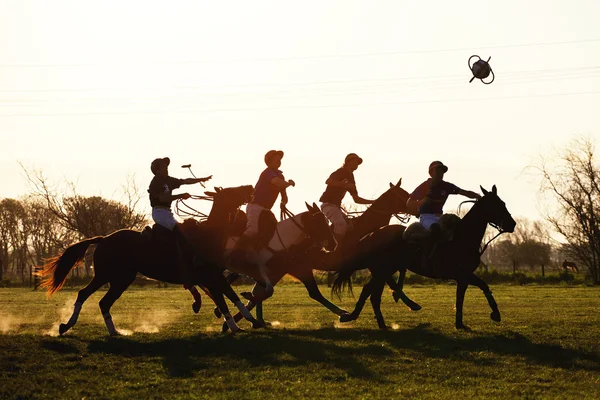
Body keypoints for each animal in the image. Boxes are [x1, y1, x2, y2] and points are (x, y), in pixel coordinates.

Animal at [38, 184, 262, 334]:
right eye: (231, 190)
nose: (250, 187)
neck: (210, 235)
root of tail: (104, 239)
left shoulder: (216, 277)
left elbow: (232, 297)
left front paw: (250, 321)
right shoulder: (210, 278)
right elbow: (224, 302)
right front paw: (236, 326)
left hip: (120, 279)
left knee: (102, 302)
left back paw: (113, 332)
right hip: (107, 276)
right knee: (86, 295)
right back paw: (70, 326)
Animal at [332, 186, 516, 330]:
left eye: (503, 203)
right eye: (496, 205)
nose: (512, 224)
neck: (463, 237)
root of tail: (371, 235)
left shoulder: (463, 277)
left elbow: (463, 297)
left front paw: (461, 324)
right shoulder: (462, 274)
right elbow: (482, 286)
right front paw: (495, 314)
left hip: (383, 271)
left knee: (374, 295)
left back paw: (381, 324)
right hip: (382, 270)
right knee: (368, 291)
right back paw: (350, 316)